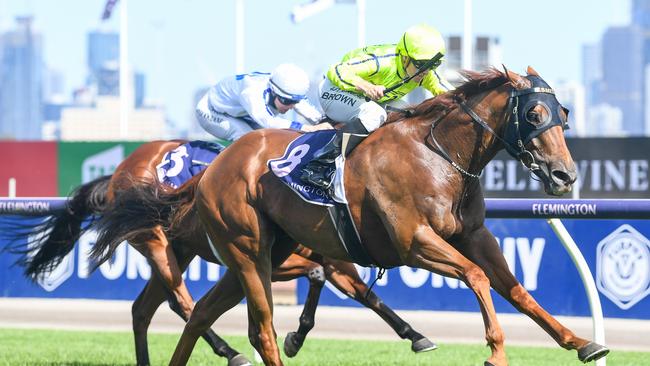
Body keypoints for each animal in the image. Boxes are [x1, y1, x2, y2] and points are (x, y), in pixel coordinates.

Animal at [5, 140, 432, 366]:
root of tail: (121, 171)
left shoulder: (334, 259)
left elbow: (365, 295)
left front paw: (415, 335)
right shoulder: (279, 261)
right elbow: (320, 277)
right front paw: (294, 336)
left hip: (178, 249)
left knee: (144, 307)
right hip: (158, 244)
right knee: (181, 300)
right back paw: (231, 352)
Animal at [147, 67, 608, 364]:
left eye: (563, 115)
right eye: (533, 114)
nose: (565, 175)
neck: (439, 155)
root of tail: (214, 166)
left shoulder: (474, 235)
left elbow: (516, 290)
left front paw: (581, 342)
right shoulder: (413, 242)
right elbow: (477, 277)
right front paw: (495, 350)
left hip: (262, 253)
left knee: (201, 313)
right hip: (248, 252)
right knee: (261, 330)